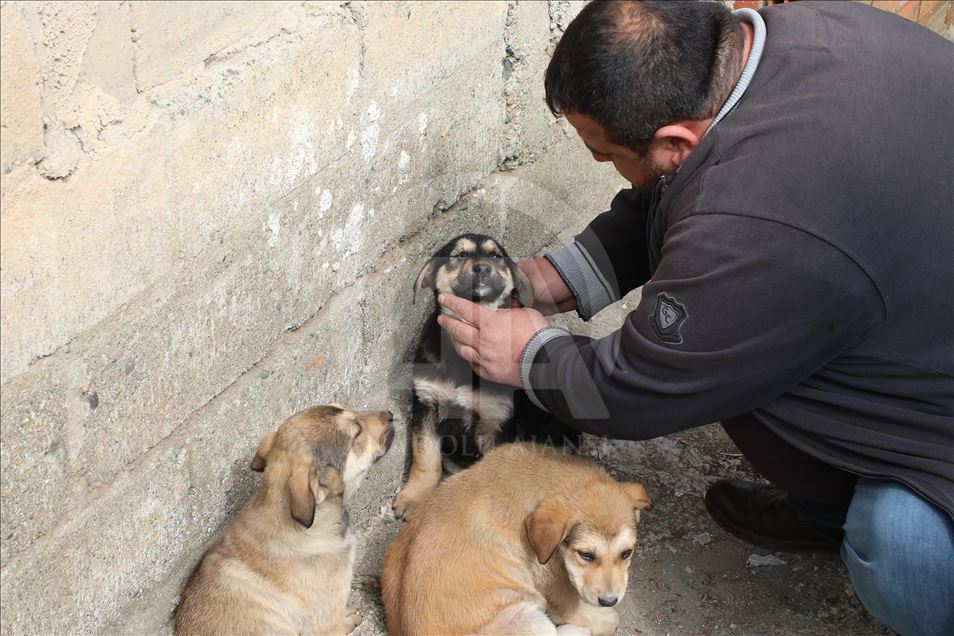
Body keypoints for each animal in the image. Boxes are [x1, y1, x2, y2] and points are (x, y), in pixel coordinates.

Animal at [380, 442, 648, 636]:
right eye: (586, 555)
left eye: (627, 553)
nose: (609, 601)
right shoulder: (552, 577)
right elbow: (593, 615)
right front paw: (603, 618)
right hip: (528, 619)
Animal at [388, 236, 580, 520]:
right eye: (459, 255)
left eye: (496, 256)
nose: (483, 268)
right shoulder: (426, 403)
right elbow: (426, 458)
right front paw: (413, 497)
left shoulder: (495, 421)